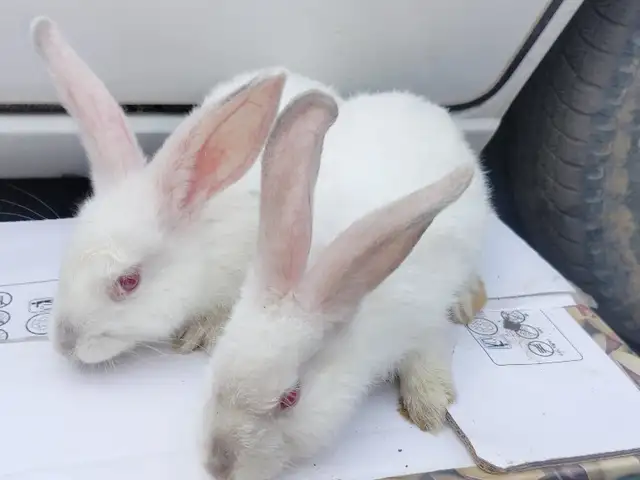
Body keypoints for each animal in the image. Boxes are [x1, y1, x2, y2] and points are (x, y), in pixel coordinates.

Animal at [201, 87, 492, 480]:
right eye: (216, 364)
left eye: (290, 398)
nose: (218, 466)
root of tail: (423, 104)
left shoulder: (424, 320)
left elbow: (428, 352)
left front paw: (429, 406)